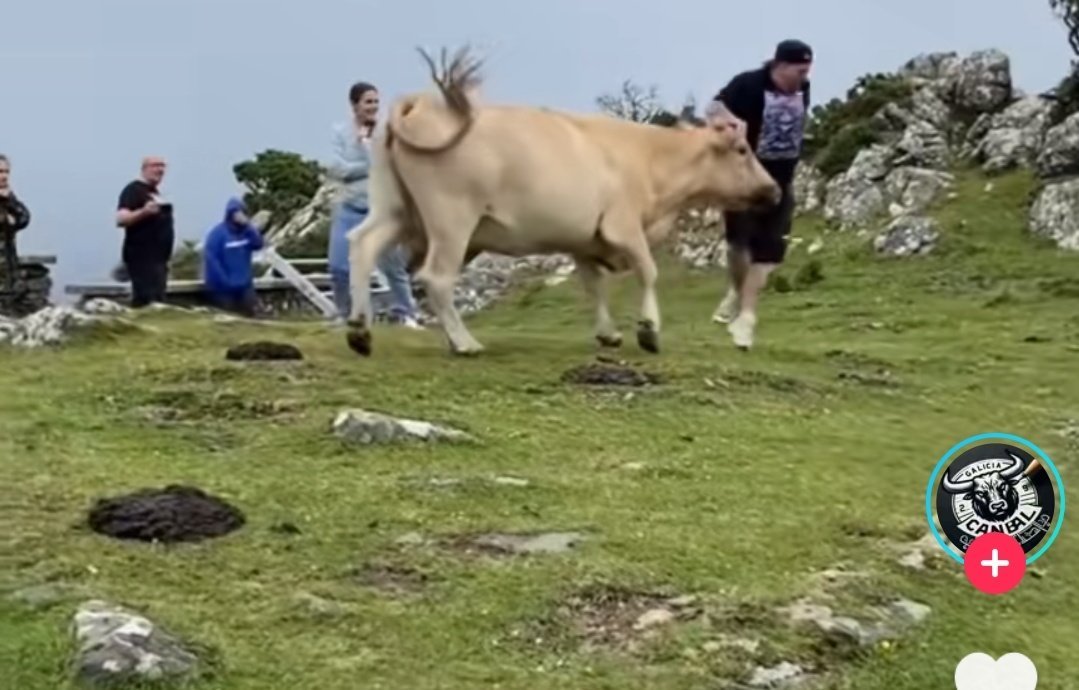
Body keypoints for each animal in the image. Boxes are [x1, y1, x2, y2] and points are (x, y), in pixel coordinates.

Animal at [343, 46, 782, 357]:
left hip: (394, 207)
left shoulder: (583, 239)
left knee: (363, 244)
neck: (650, 159)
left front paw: (608, 333)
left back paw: (360, 330)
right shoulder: (622, 225)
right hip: (452, 217)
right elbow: (648, 271)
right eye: (742, 149)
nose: (775, 189)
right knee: (436, 276)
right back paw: (463, 342)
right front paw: (649, 331)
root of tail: (421, 103)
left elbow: (594, 285)